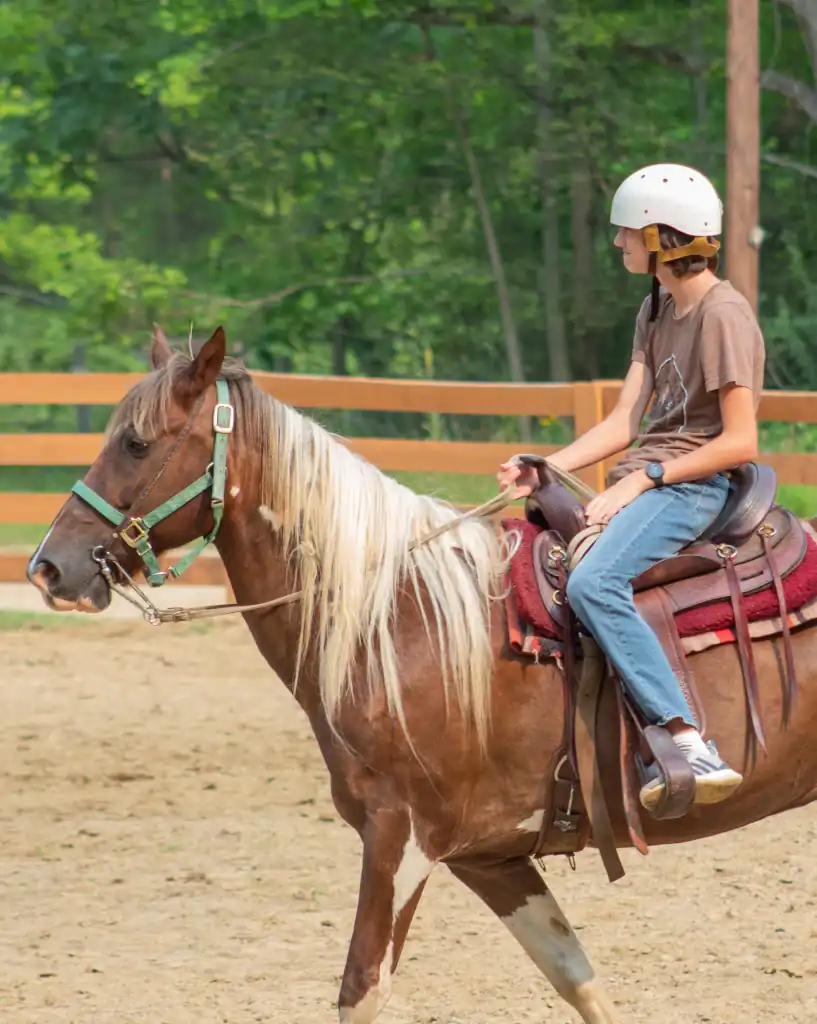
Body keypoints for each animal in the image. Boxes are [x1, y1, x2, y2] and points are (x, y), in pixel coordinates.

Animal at [25, 325, 817, 1024]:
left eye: (135, 442)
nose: (48, 566)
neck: (396, 619)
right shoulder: (490, 857)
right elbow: (576, 978)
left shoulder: (397, 838)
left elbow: (360, 989)